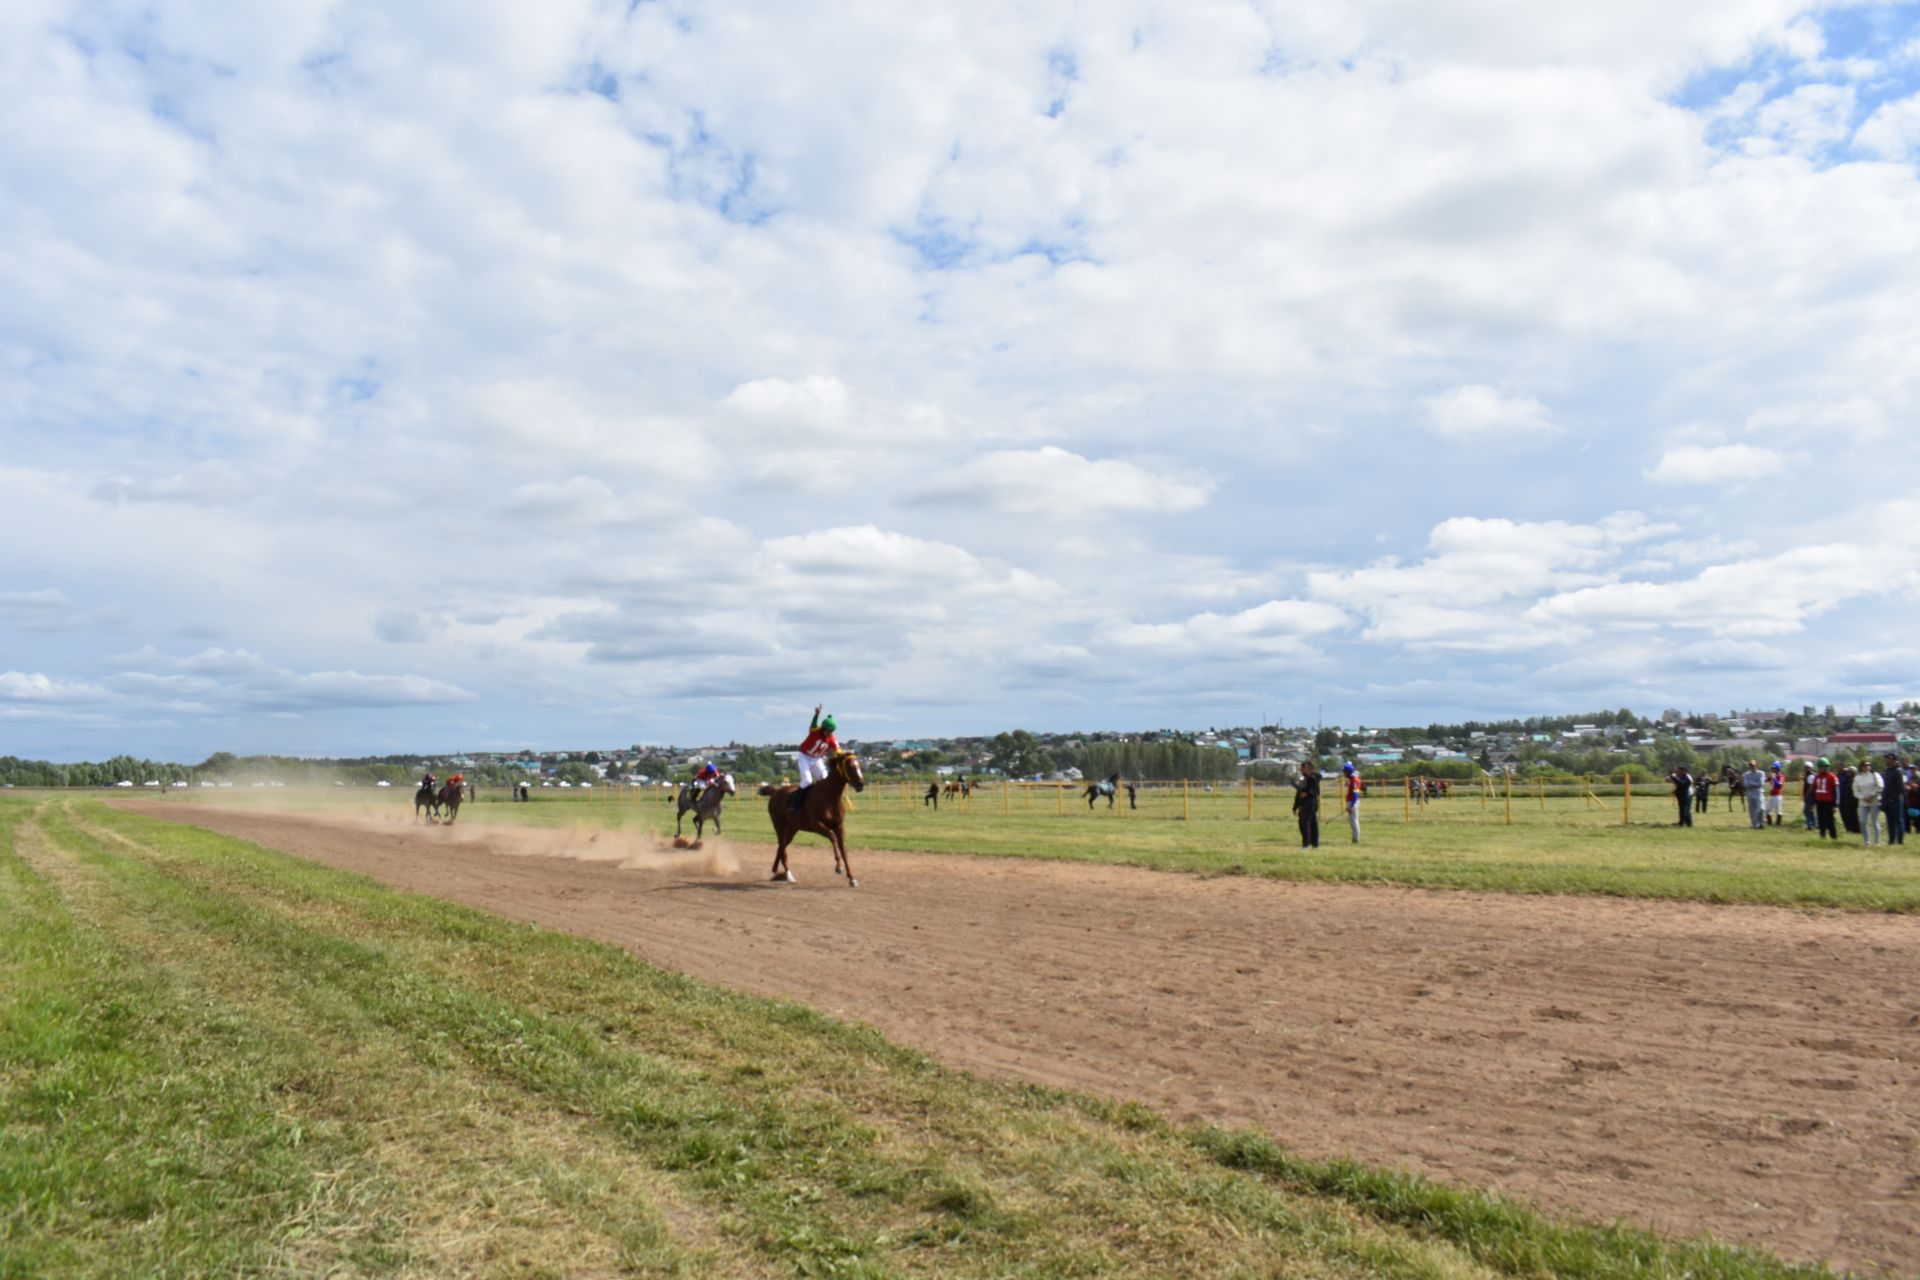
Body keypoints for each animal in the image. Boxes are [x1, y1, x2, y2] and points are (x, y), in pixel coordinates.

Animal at [756, 752, 871, 890]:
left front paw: (852, 879)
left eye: (858, 765)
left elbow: (843, 850)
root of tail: (775, 792)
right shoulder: (817, 826)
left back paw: (774, 871)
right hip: (779, 825)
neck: (829, 797)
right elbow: (832, 838)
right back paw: (788, 875)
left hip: (792, 828)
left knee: (781, 847)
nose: (861, 784)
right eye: (850, 766)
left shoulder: (839, 827)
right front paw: (838, 867)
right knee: (783, 848)